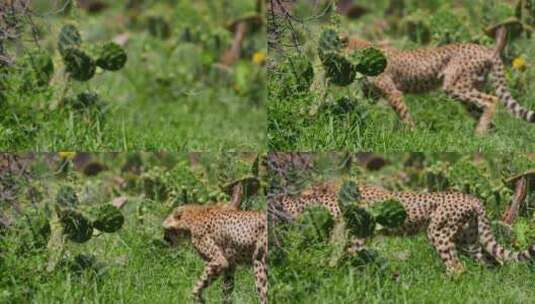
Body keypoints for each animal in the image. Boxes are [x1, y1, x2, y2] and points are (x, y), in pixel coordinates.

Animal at [274, 180, 532, 274]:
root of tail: (472, 197)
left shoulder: (357, 236)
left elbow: (347, 256)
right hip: (468, 240)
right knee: (491, 261)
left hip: (438, 232)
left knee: (456, 267)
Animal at [346, 27, 532, 134]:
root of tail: (486, 49)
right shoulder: (371, 95)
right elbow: (358, 106)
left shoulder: (393, 93)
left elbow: (404, 115)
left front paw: (414, 136)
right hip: (468, 88)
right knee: (481, 110)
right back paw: (487, 137)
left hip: (455, 86)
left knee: (491, 100)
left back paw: (479, 135)